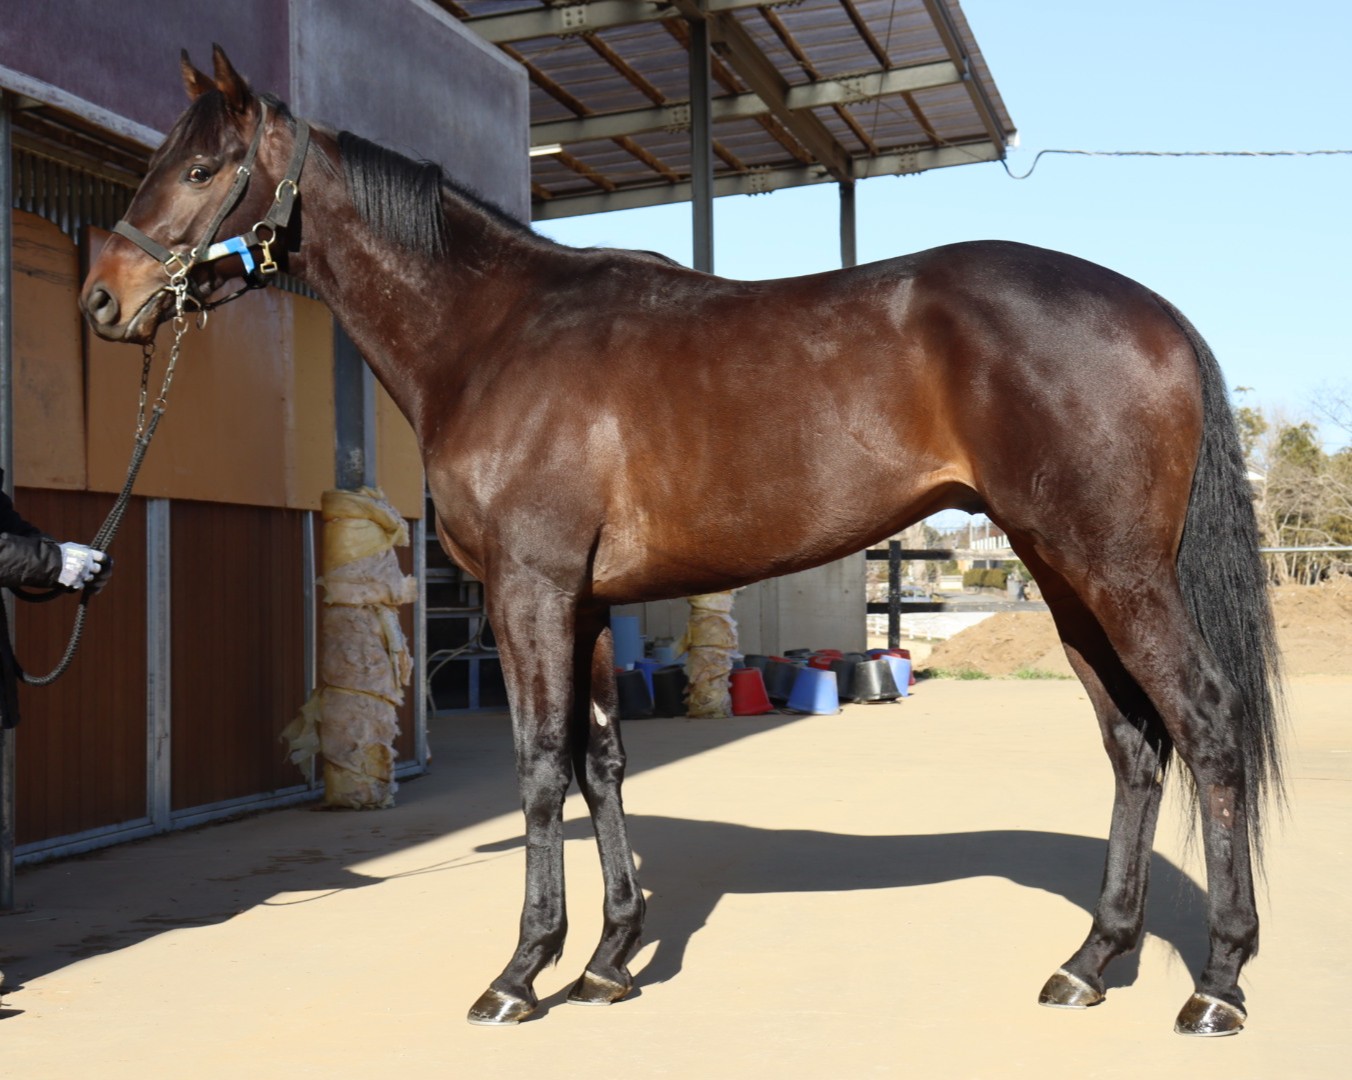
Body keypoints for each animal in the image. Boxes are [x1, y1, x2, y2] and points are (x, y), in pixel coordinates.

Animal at [80, 46, 1282, 1037]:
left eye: (203, 169)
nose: (103, 298)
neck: (493, 333)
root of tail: (1155, 314)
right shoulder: (586, 600)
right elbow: (601, 761)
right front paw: (609, 959)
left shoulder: (529, 589)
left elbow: (537, 766)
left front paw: (521, 972)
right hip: (1062, 574)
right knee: (1131, 745)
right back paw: (1091, 960)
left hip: (1116, 571)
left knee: (1205, 722)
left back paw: (1219, 983)